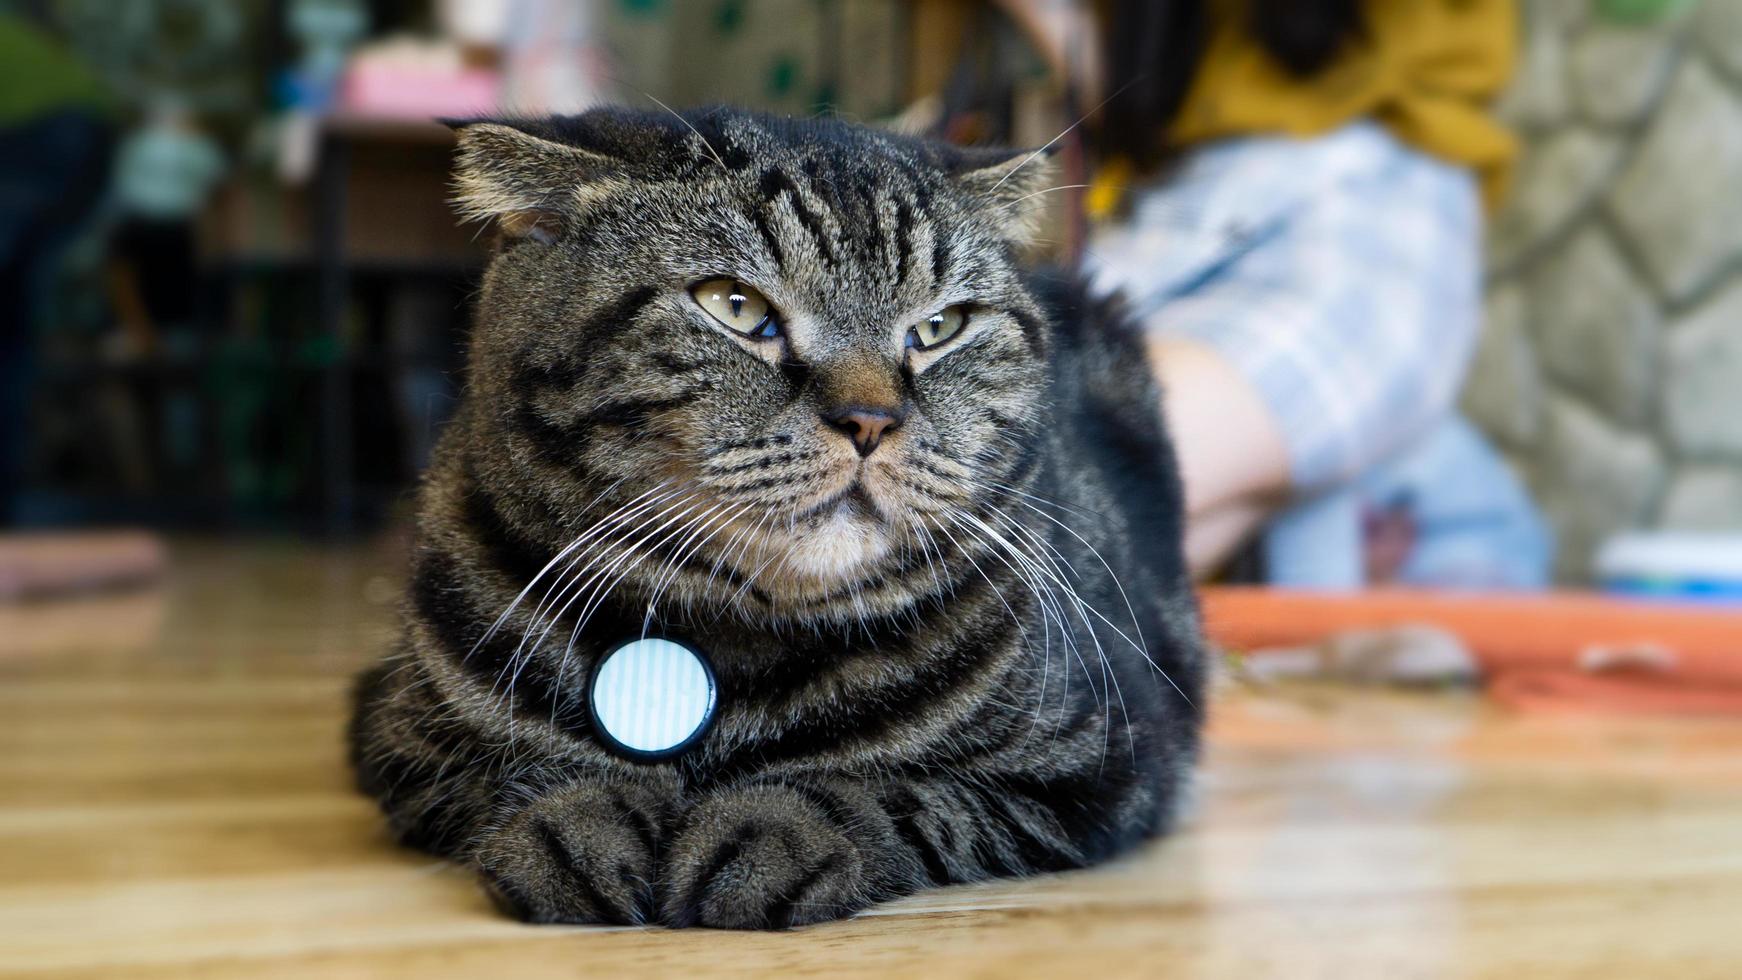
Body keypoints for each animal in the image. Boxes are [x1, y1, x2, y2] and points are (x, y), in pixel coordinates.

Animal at [346, 103, 1205, 933]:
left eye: (939, 328)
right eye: (736, 307)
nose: (870, 419)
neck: (735, 653)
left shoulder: (1100, 768)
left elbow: (896, 794)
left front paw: (767, 830)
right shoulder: (397, 740)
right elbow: (514, 773)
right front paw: (575, 823)